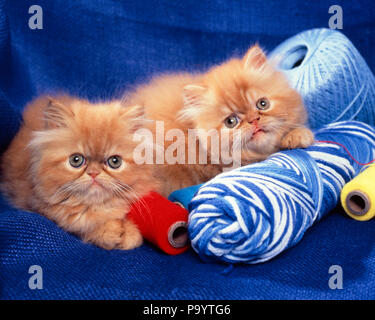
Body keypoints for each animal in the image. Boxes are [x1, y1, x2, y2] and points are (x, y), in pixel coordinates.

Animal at [0, 95, 156, 250]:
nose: (94, 173)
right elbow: (83, 227)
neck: (96, 207)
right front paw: (111, 232)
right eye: (76, 160)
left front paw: (129, 233)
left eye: (115, 161)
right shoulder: (44, 210)